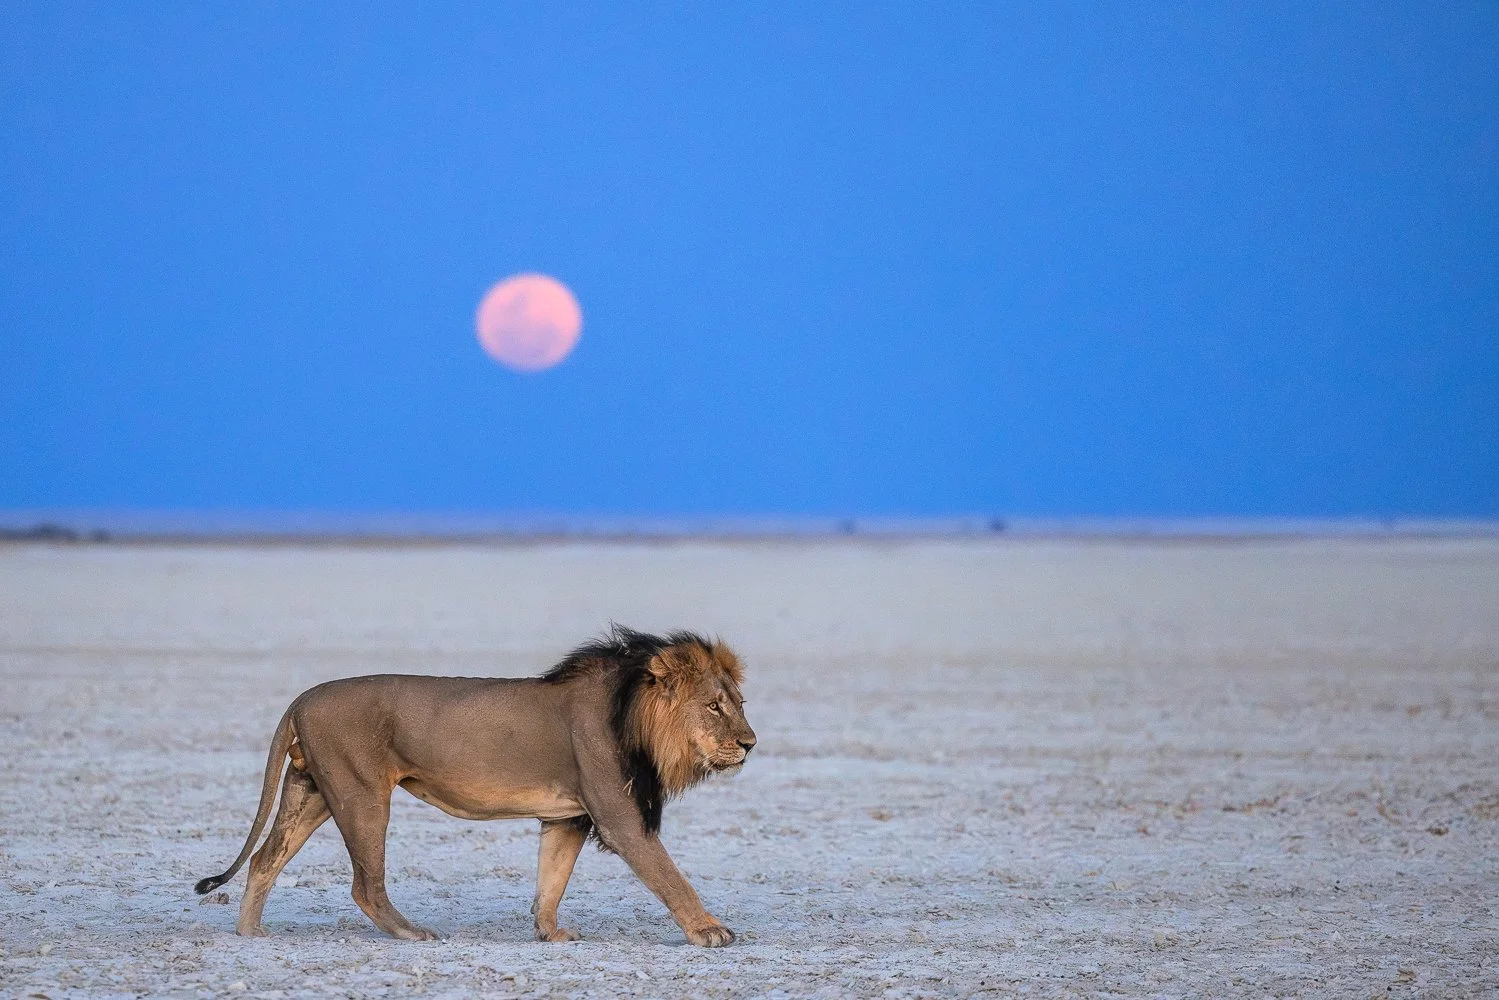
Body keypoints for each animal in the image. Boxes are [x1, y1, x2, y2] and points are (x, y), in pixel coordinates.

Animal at [194, 626, 756, 946]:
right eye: (713, 706)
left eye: (739, 703)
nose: (750, 743)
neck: (634, 715)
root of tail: (302, 698)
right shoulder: (620, 818)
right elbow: (670, 876)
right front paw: (709, 931)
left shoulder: (567, 817)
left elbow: (551, 880)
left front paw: (550, 932)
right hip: (361, 794)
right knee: (364, 885)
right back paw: (412, 932)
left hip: (310, 789)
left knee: (265, 859)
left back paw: (251, 936)